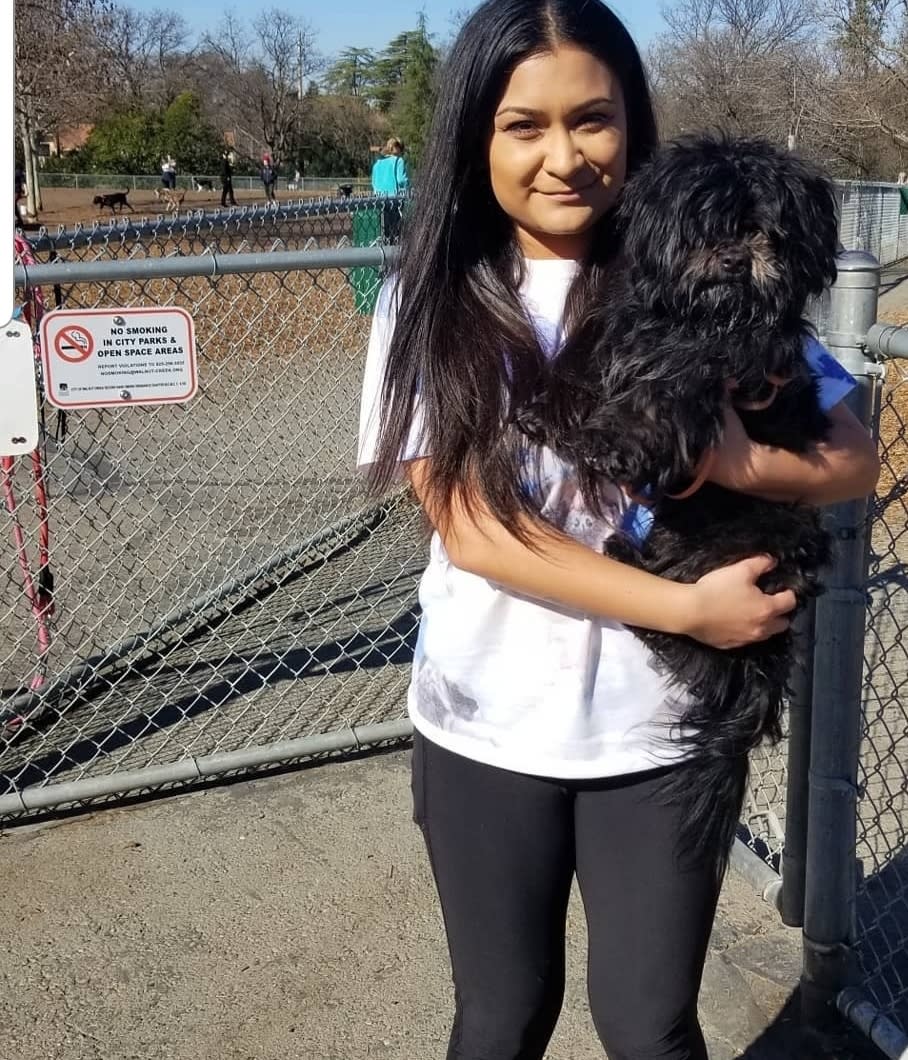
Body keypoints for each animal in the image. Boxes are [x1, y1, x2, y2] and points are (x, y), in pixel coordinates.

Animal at [521, 132, 839, 873]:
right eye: (702, 226)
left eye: (763, 228)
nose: (733, 256)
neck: (702, 317)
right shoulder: (618, 336)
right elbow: (583, 368)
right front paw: (545, 409)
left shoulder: (731, 364)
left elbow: (666, 392)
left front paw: (614, 441)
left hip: (734, 552)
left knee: (679, 626)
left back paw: (622, 553)